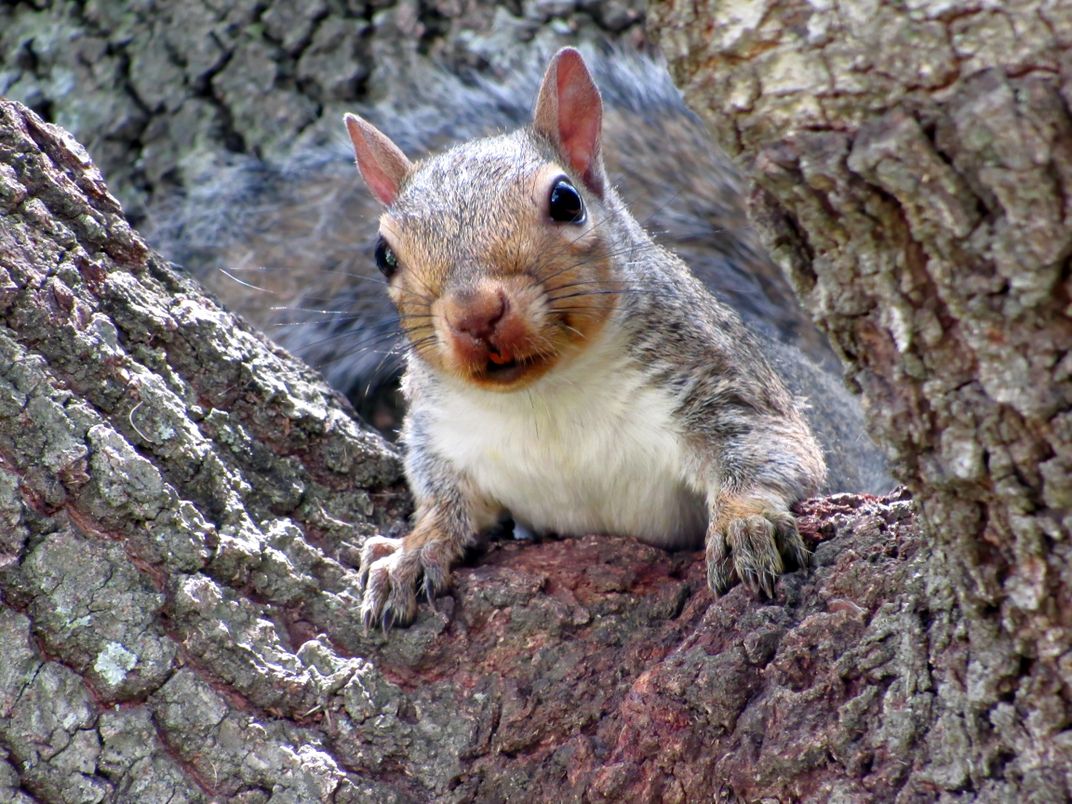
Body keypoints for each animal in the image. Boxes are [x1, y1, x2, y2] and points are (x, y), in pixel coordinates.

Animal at [146, 43, 891, 626]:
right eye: (383, 254)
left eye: (566, 201)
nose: (475, 312)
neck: (546, 398)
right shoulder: (444, 441)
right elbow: (446, 506)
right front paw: (412, 550)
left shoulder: (722, 384)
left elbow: (768, 454)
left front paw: (744, 522)